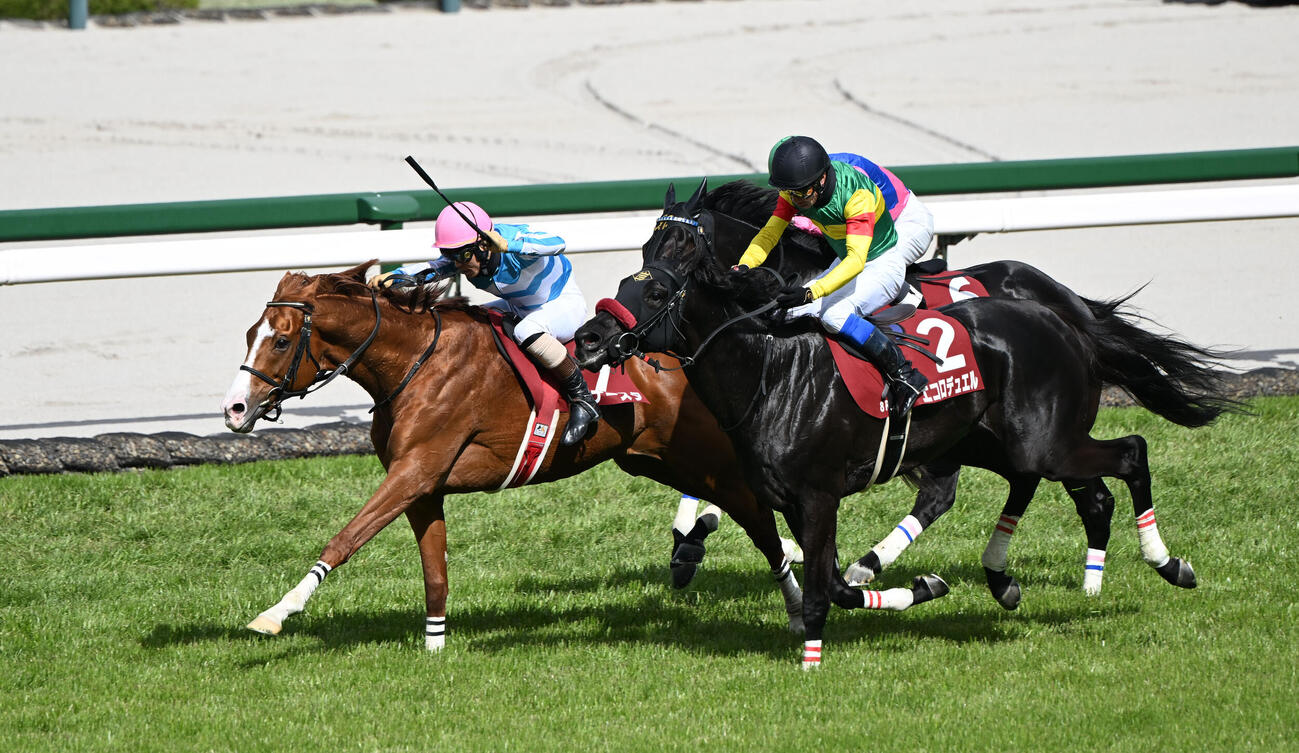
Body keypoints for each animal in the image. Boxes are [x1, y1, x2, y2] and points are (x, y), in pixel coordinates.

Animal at [220, 261, 805, 650]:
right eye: (250, 334)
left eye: (281, 341)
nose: (234, 409)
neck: (414, 362)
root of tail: (691, 353)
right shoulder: (422, 485)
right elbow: (435, 570)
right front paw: (435, 646)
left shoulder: (415, 471)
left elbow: (345, 539)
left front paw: (277, 612)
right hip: (653, 459)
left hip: (706, 458)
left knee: (759, 517)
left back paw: (799, 602)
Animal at [573, 179, 1238, 668]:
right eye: (645, 251)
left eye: (677, 260)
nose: (589, 338)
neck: (775, 366)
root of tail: (1067, 311)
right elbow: (804, 557)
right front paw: (694, 540)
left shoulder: (819, 490)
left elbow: (819, 571)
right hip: (997, 441)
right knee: (1054, 487)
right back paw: (1021, 578)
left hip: (1042, 441)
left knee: (1123, 457)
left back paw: (1162, 564)